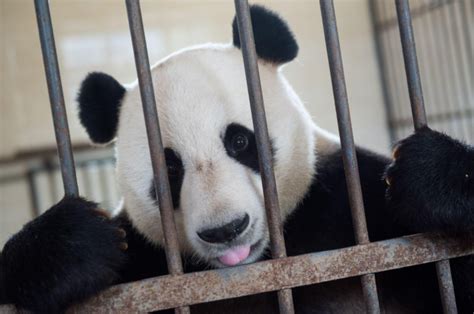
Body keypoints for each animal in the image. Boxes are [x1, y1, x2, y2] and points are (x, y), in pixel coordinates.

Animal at [0, 5, 472, 314]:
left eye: (240, 141)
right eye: (170, 168)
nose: (226, 230)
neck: (256, 268)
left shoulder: (355, 210)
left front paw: (433, 176)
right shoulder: (142, 262)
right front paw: (70, 246)